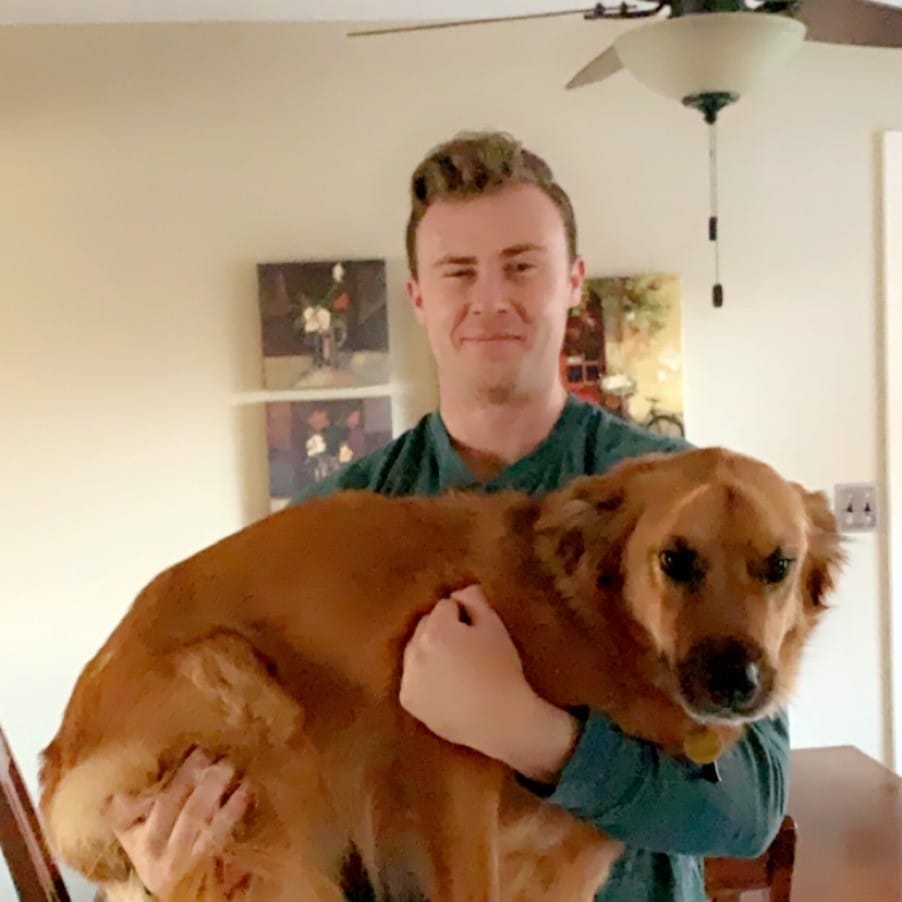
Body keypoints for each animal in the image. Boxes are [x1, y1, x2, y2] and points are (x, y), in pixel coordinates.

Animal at [38, 448, 844, 900]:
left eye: (779, 566)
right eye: (676, 560)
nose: (739, 683)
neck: (589, 624)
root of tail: (57, 763)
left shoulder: (569, 864)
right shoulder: (447, 776)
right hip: (254, 723)